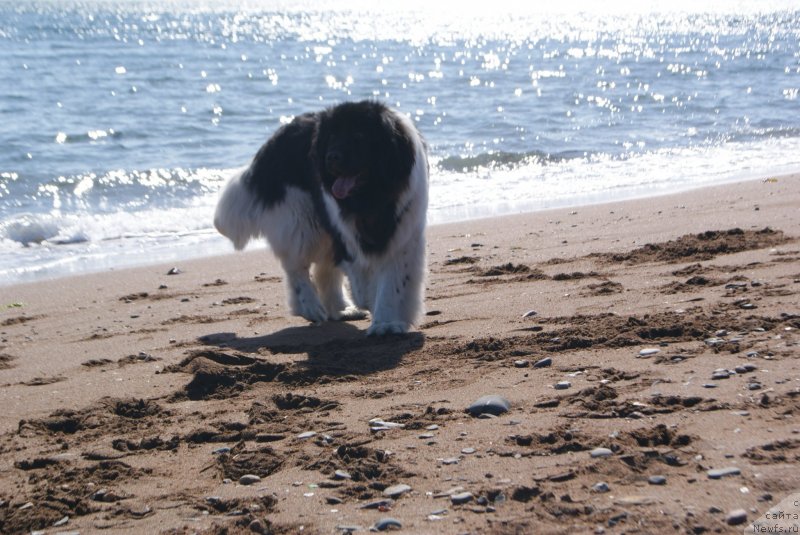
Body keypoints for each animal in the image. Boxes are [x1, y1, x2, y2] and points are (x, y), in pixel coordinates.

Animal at [211, 100, 424, 336]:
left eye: (359, 136)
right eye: (332, 137)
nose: (331, 157)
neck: (371, 199)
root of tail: (276, 137)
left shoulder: (403, 234)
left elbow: (393, 282)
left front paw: (386, 322)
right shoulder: (344, 232)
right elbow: (361, 277)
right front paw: (372, 304)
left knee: (323, 268)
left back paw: (341, 309)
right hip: (301, 220)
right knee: (296, 267)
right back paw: (310, 307)